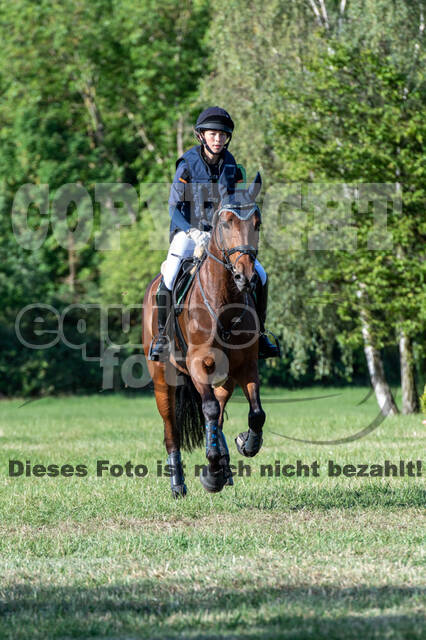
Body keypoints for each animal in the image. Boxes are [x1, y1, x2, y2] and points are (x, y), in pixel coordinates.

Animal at [141, 175, 264, 500]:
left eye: (257, 222)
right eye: (226, 222)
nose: (245, 277)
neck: (224, 301)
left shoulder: (246, 366)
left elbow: (255, 413)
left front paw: (245, 443)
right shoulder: (198, 363)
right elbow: (207, 410)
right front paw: (211, 468)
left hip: (225, 377)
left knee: (218, 413)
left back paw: (222, 467)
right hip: (163, 378)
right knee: (172, 429)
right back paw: (179, 483)